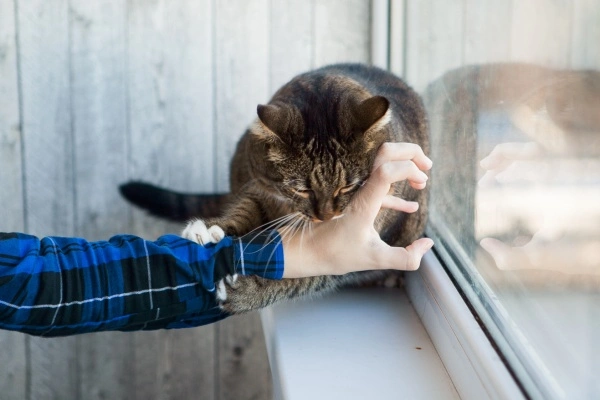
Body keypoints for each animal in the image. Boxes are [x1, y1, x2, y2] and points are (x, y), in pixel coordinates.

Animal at [119, 63, 428, 312]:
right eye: (302, 189)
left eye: (347, 187)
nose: (326, 217)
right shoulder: (259, 187)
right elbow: (245, 210)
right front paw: (210, 229)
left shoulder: (353, 250)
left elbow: (303, 278)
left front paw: (247, 292)